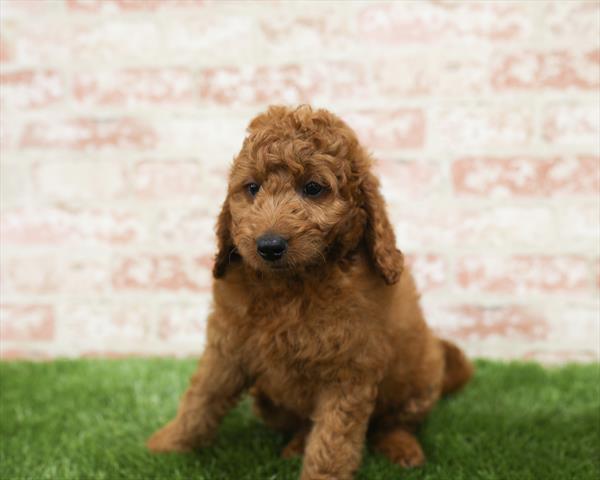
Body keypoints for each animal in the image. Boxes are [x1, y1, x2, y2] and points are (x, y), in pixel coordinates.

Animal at [146, 106, 474, 480]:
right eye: (252, 188)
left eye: (313, 188)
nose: (268, 245)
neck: (291, 285)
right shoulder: (227, 348)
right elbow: (201, 398)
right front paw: (168, 444)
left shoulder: (349, 367)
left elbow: (332, 438)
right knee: (303, 423)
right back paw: (296, 444)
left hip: (421, 379)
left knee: (393, 422)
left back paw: (402, 447)